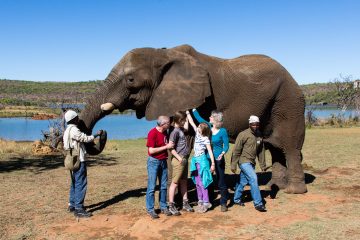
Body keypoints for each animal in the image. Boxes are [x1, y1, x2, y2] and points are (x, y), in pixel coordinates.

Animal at [80, 44, 308, 194]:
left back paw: (293, 191)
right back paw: (275, 186)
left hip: (289, 102)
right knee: (275, 147)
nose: (101, 133)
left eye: (130, 80)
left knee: (289, 147)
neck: (163, 53)